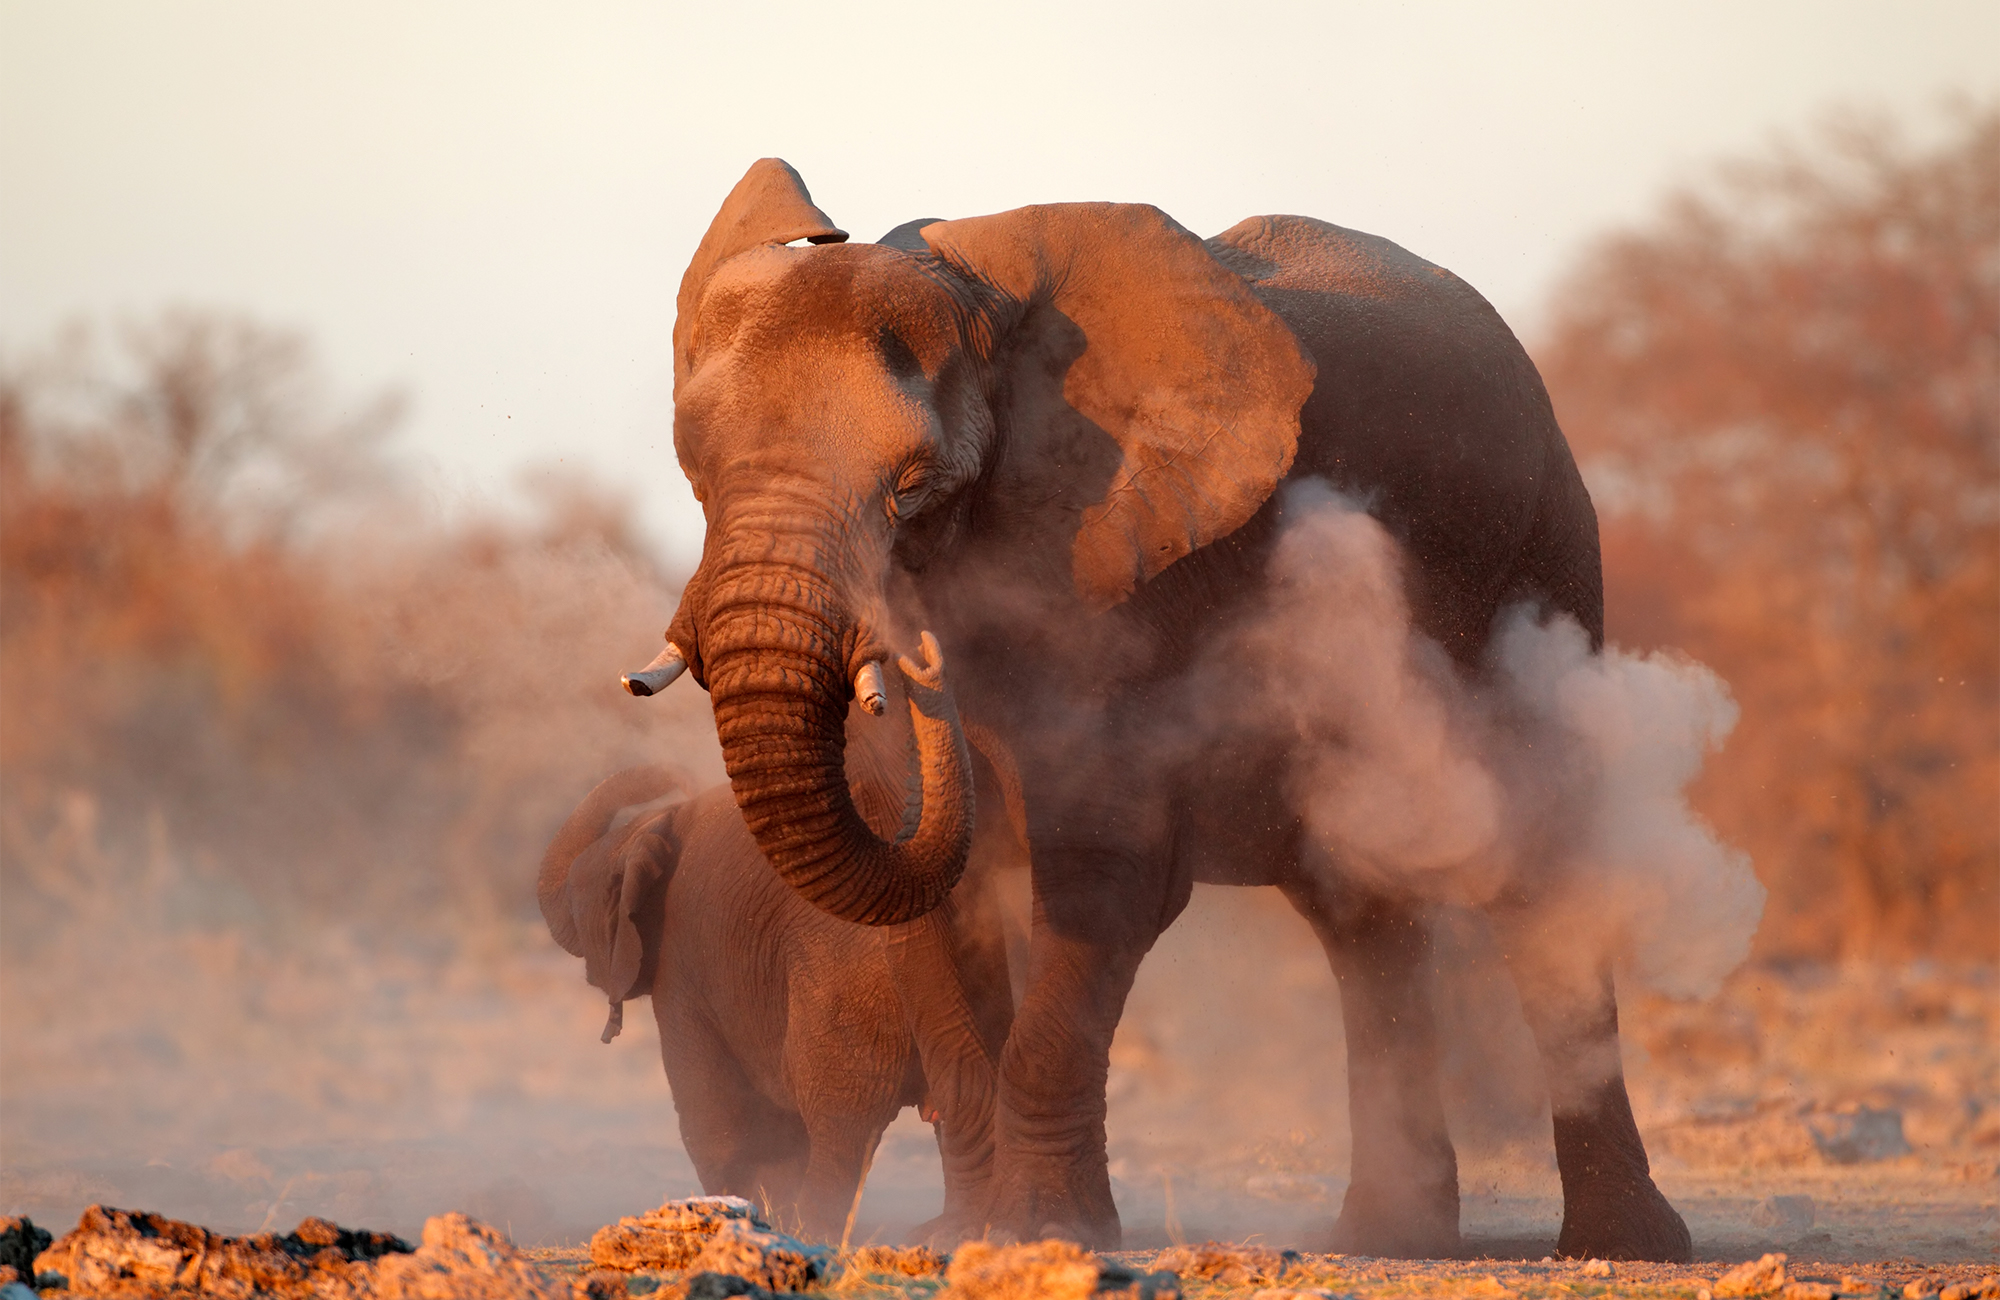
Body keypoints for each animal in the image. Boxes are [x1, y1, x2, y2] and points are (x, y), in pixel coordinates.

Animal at [538, 651, 1020, 1239]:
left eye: (579, 899)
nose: (675, 775)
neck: (649, 830)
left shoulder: (682, 967)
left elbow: (714, 1116)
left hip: (842, 1000)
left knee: (838, 1125)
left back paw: (815, 1233)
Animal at [625, 156, 1693, 1261]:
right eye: (695, 469)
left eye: (914, 488)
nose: (918, 660)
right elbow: (934, 902)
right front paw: (962, 1230)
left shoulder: (1133, 569)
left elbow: (1106, 877)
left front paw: (1044, 1231)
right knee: (1358, 912)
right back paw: (1386, 1236)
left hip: (1544, 561)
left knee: (1542, 878)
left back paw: (1621, 1245)